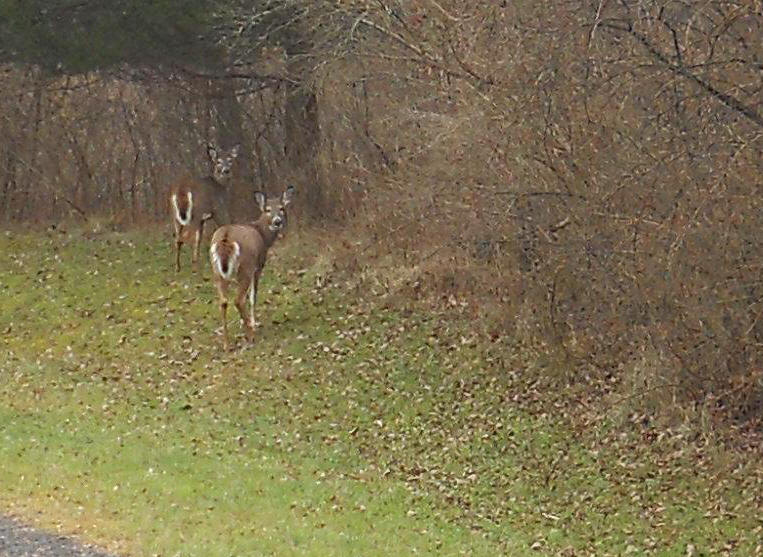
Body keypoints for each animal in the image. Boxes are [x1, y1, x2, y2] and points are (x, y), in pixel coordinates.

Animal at [169, 143, 240, 272]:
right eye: (218, 161)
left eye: (230, 160)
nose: (226, 170)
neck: (220, 185)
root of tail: (182, 190)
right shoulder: (219, 210)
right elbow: (225, 227)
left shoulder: (203, 219)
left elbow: (201, 238)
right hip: (195, 213)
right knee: (189, 238)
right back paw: (194, 268)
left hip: (175, 215)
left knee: (178, 239)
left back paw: (178, 267)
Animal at [209, 185, 295, 350]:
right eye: (267, 209)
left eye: (281, 208)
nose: (277, 221)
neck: (263, 235)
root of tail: (225, 238)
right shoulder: (258, 266)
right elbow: (253, 296)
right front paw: (252, 322)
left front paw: (244, 322)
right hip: (245, 268)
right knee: (238, 300)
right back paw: (251, 336)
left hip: (217, 271)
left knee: (223, 301)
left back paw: (226, 344)